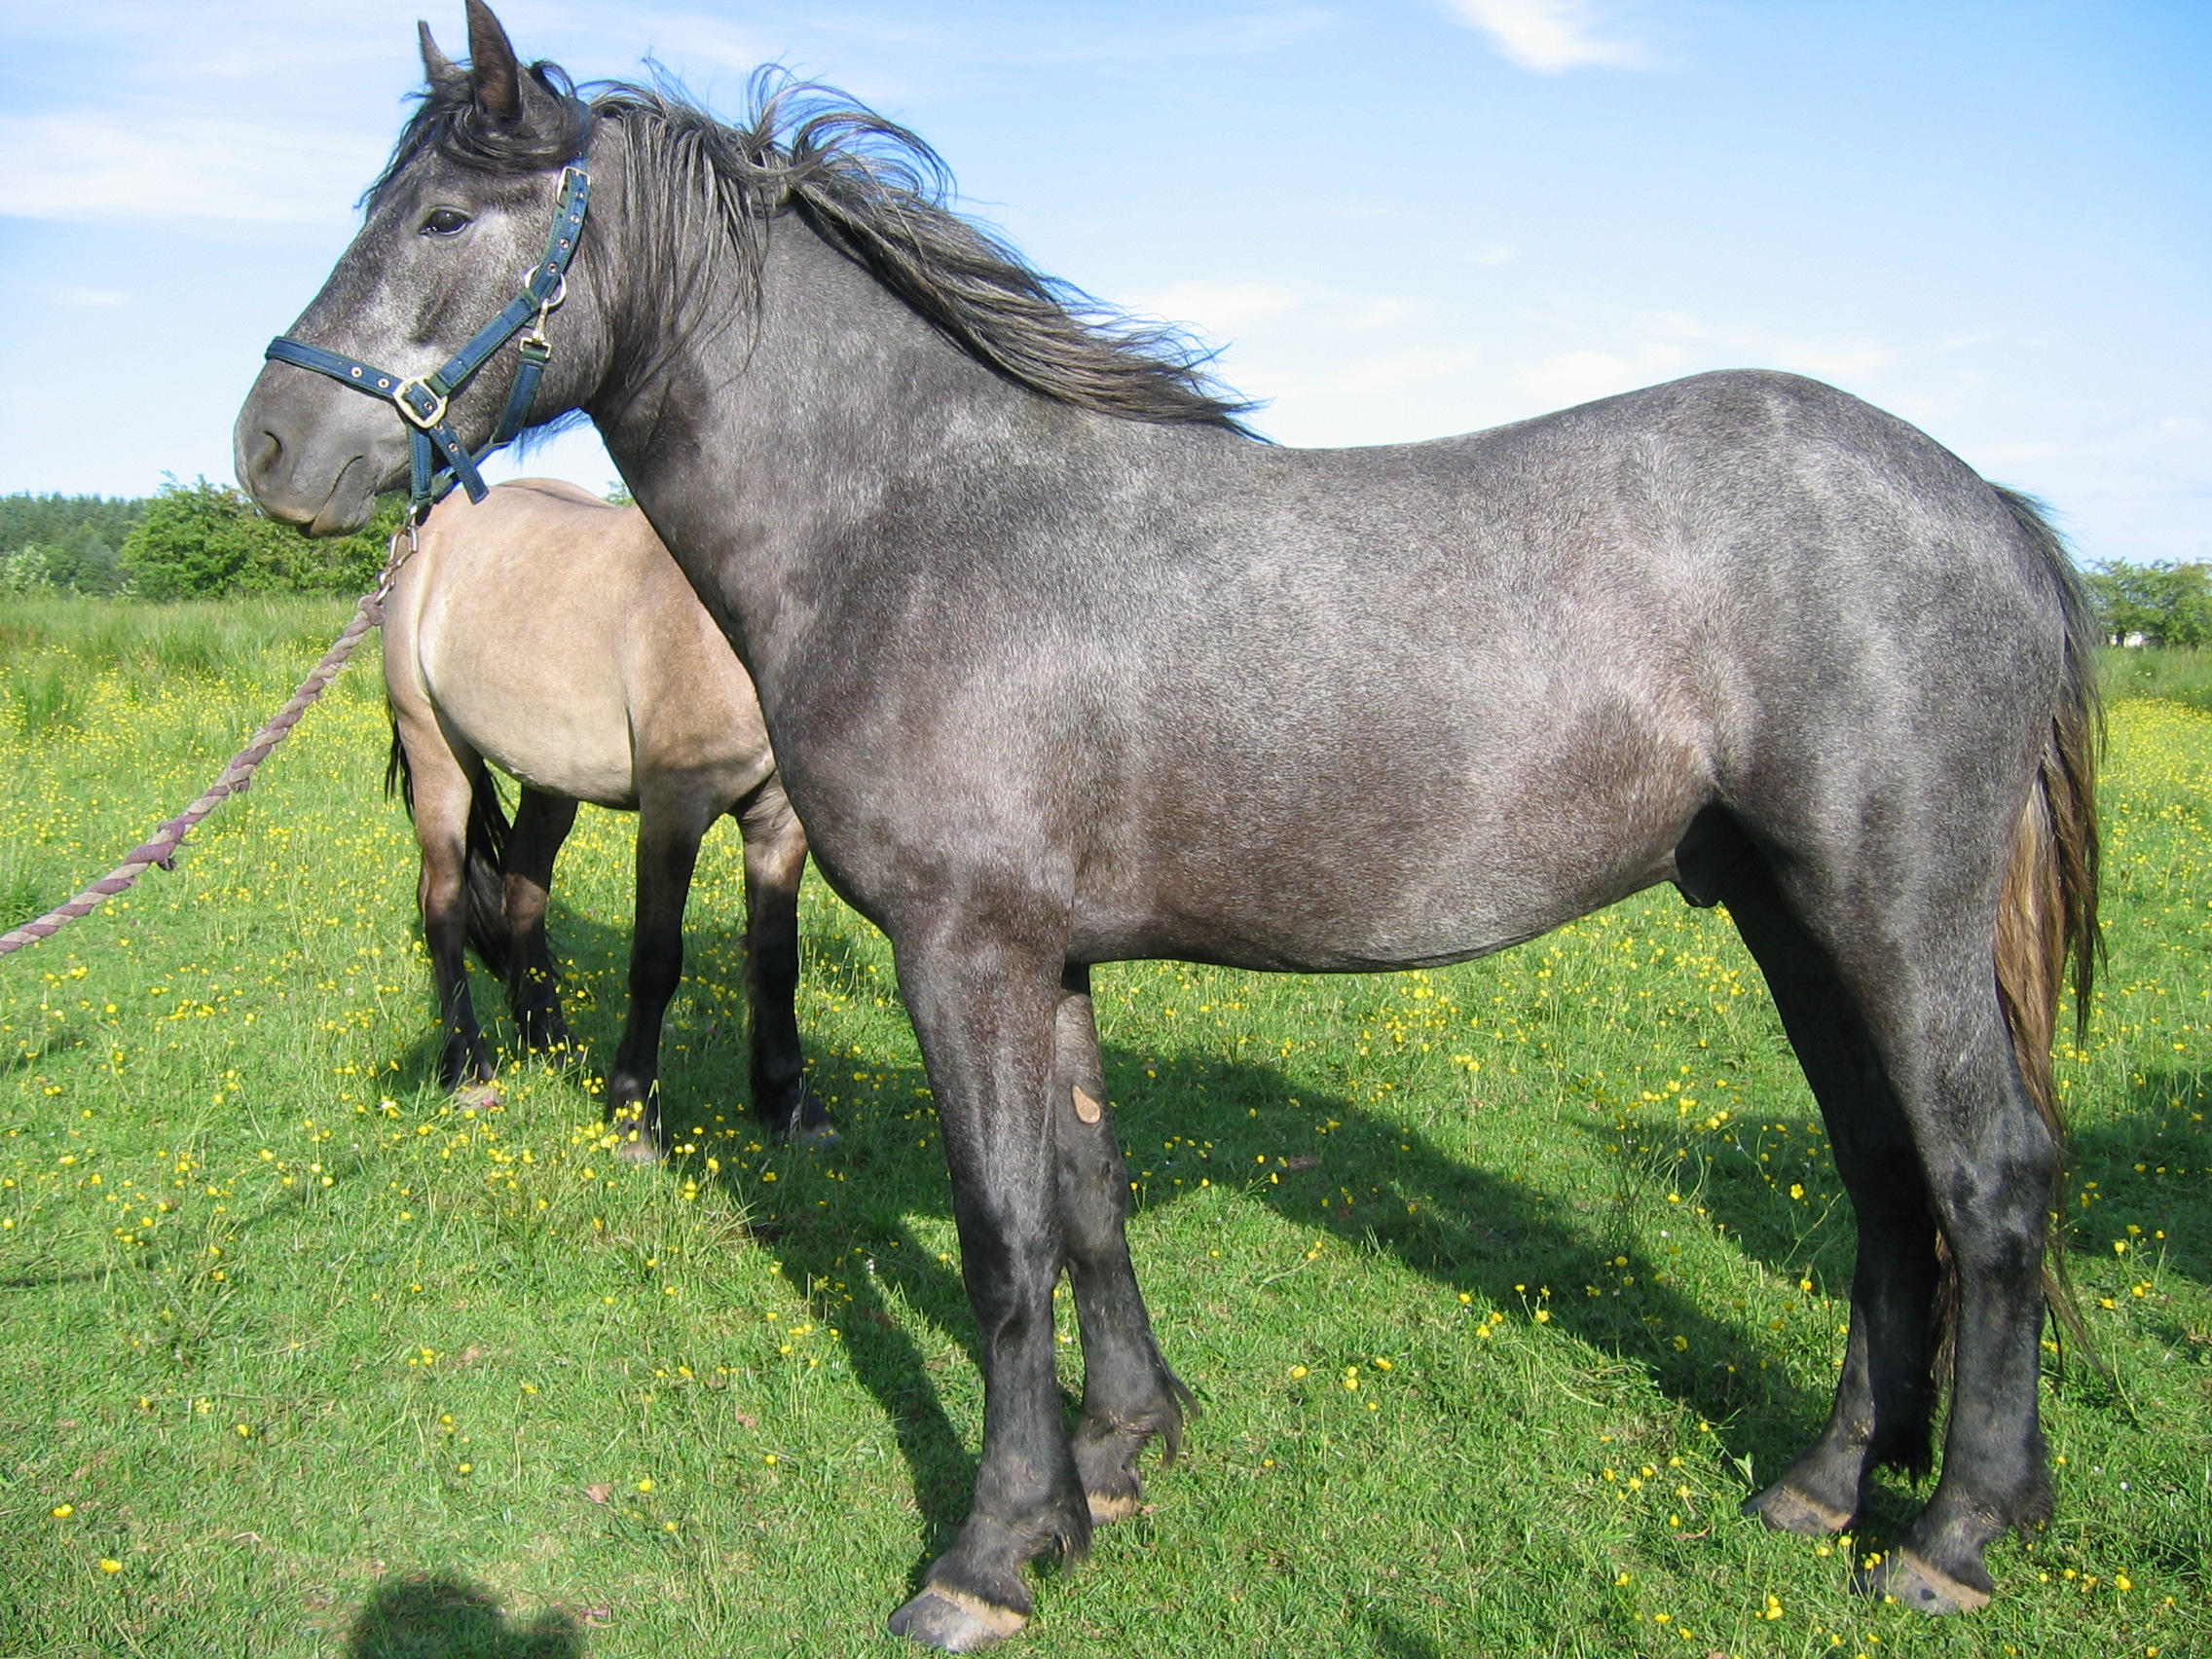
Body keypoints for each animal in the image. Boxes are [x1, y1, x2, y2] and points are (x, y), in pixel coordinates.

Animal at [383, 475, 830, 1148]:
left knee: (524, 887)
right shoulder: (673, 809)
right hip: (435, 746)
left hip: (547, 778)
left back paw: (551, 1041)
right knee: (442, 900)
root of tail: (422, 528)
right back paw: (465, 1067)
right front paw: (634, 1116)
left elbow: (777, 960)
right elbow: (655, 959)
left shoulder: (780, 821)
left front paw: (789, 1106)